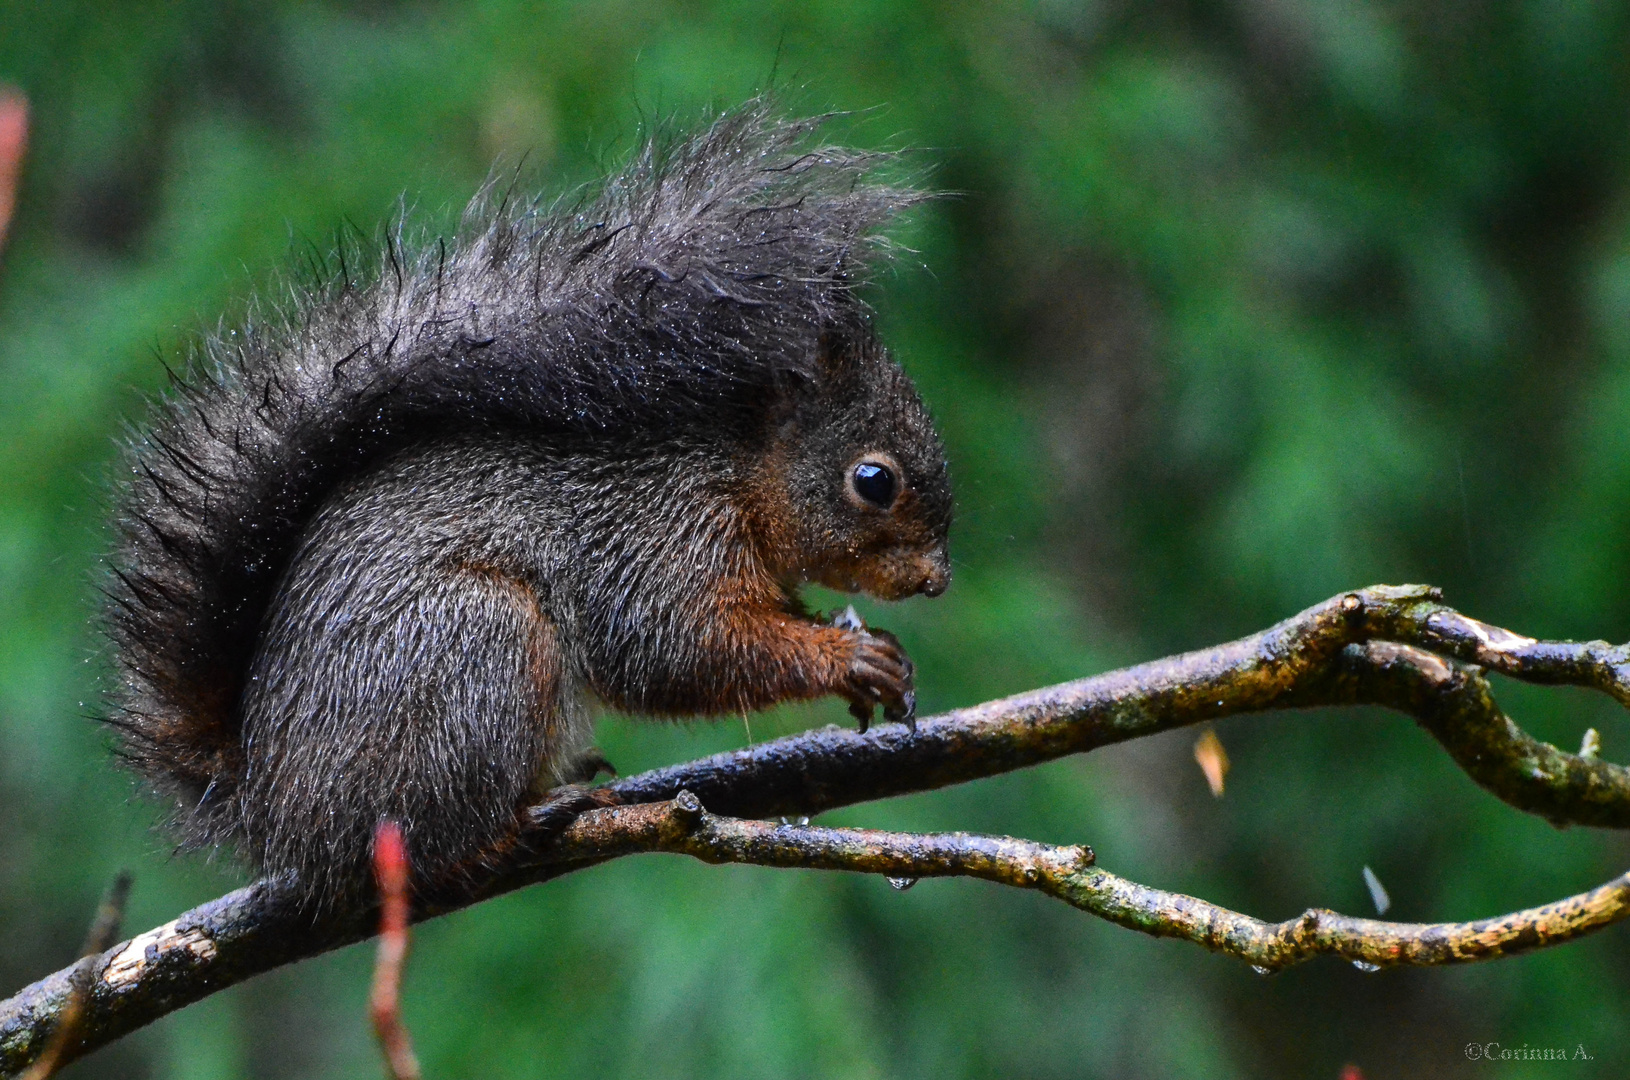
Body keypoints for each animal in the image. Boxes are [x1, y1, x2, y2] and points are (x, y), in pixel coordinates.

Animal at [101, 103, 951, 912]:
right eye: (874, 480)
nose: (938, 579)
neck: (735, 472)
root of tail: (274, 814)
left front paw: (869, 646)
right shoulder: (651, 537)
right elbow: (680, 648)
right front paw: (848, 657)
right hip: (474, 650)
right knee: (427, 845)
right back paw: (522, 825)